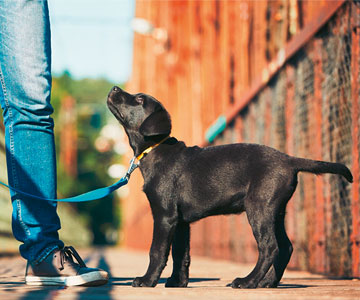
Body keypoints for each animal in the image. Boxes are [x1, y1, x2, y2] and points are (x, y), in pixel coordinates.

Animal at [106, 86, 352, 288]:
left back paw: (247, 281)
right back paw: (267, 283)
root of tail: (289, 159)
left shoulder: (165, 215)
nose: (114, 87)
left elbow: (157, 251)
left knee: (269, 247)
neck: (155, 149)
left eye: (139, 99)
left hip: (259, 208)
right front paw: (177, 282)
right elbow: (180, 254)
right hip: (276, 211)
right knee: (285, 247)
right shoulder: (181, 221)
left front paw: (147, 280)